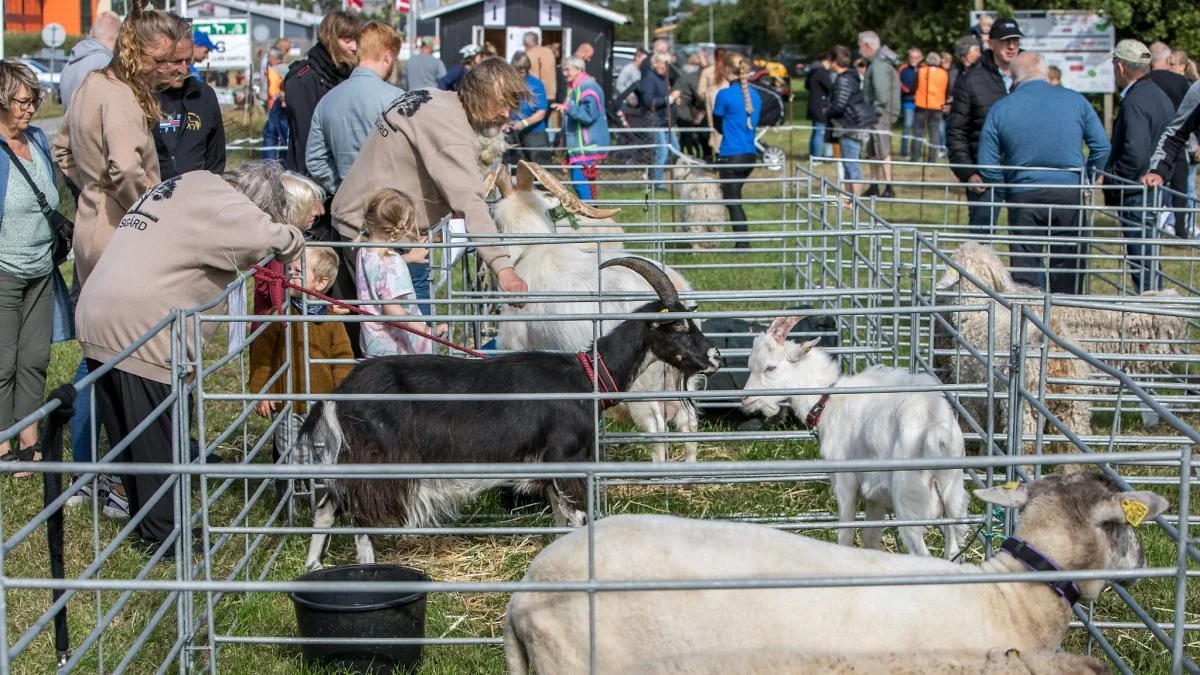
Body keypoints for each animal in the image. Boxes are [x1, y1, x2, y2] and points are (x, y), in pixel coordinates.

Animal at [300, 257, 720, 566]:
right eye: (678, 326)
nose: (715, 357)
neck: (585, 376)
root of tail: (339, 394)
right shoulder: (566, 457)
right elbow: (577, 518)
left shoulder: (550, 466)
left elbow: (560, 518)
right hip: (376, 458)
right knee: (357, 513)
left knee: (326, 505)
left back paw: (314, 565)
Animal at [492, 159, 700, 458]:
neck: (530, 252)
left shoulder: (515, 342)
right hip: (682, 376)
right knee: (689, 423)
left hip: (643, 384)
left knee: (657, 428)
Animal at [744, 314, 969, 557]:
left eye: (770, 368)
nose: (744, 400)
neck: (825, 401)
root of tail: (936, 431)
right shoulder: (876, 495)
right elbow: (870, 538)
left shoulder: (845, 482)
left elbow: (845, 534)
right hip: (953, 498)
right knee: (953, 550)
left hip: (909, 500)